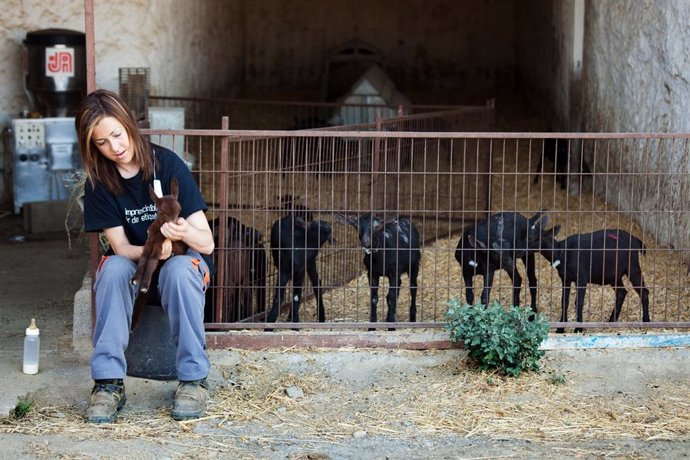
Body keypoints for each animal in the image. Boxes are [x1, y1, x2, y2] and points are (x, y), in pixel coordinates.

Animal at [129, 177, 187, 330]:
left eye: (179, 210)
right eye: (161, 212)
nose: (174, 225)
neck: (157, 233)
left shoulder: (159, 246)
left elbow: (152, 261)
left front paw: (143, 285)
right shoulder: (148, 243)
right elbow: (143, 259)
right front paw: (136, 279)